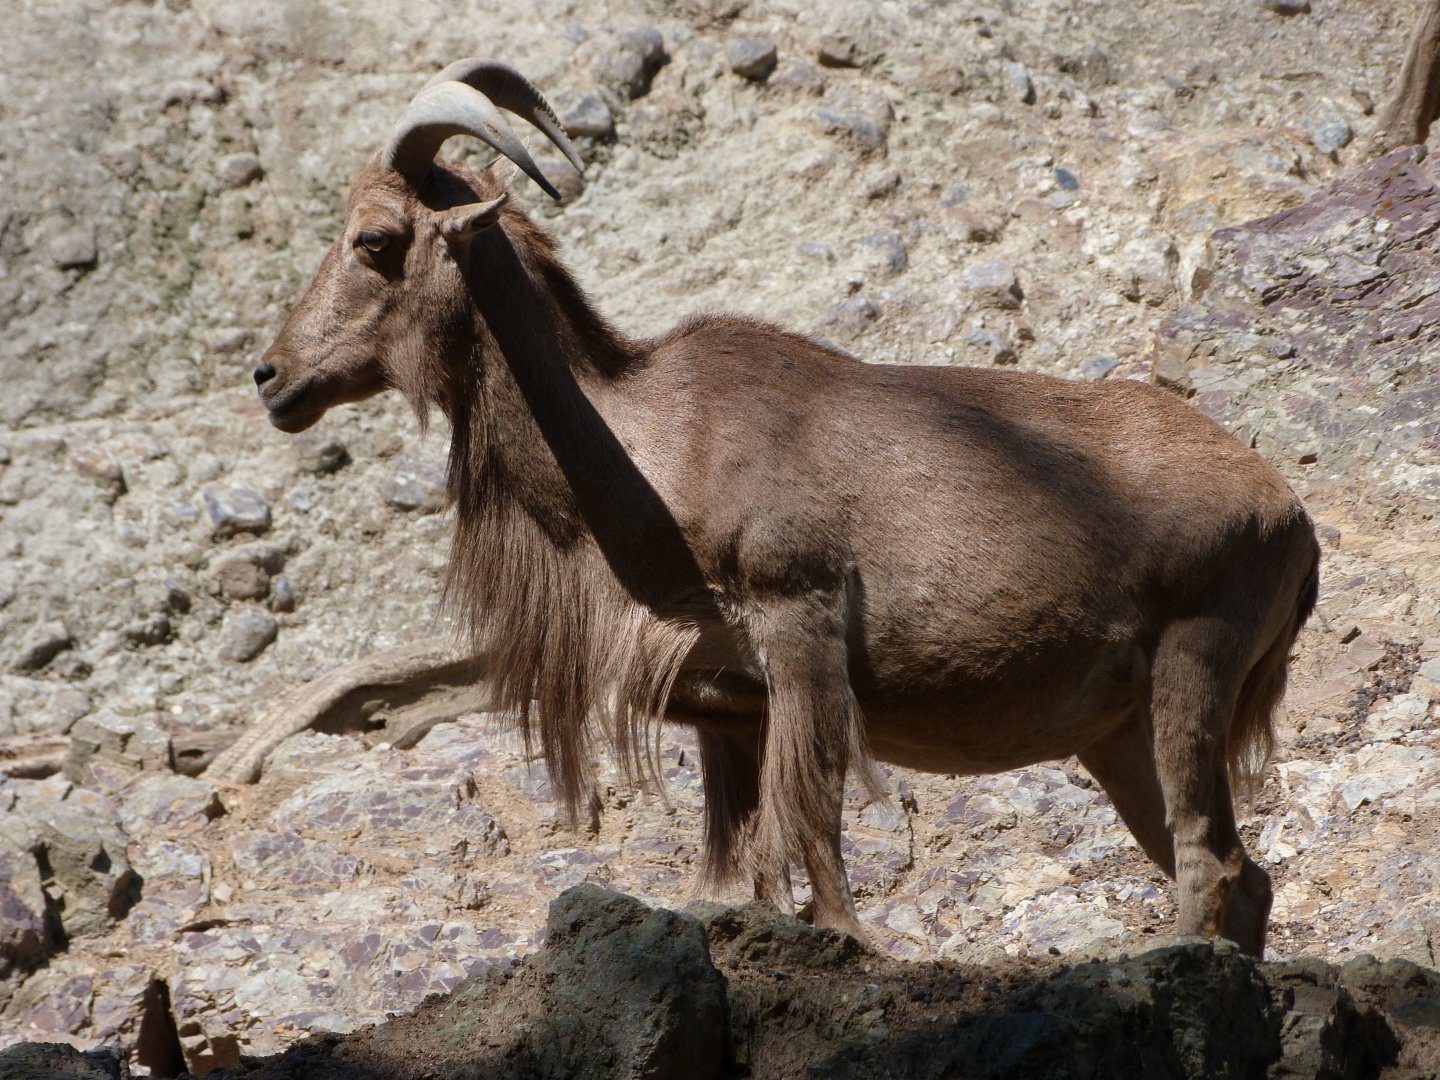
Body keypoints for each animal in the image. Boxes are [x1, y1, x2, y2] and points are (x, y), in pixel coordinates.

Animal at [254, 58, 1320, 956]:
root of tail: (1290, 517)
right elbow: (754, 850)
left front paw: (844, 940)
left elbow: (814, 828)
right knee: (1239, 874)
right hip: (1115, 732)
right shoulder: (726, 707)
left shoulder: (797, 625)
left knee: (1210, 859)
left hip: (1193, 666)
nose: (272, 378)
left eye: (376, 240)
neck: (645, 446)